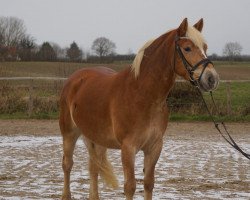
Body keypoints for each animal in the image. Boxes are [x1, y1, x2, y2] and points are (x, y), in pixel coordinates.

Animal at [60, 18, 219, 199]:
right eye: (187, 48)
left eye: (205, 47)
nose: (212, 79)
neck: (142, 95)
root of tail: (75, 78)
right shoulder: (128, 148)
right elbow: (130, 186)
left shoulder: (154, 147)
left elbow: (149, 183)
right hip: (69, 133)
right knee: (67, 164)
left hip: (97, 138)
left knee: (94, 167)